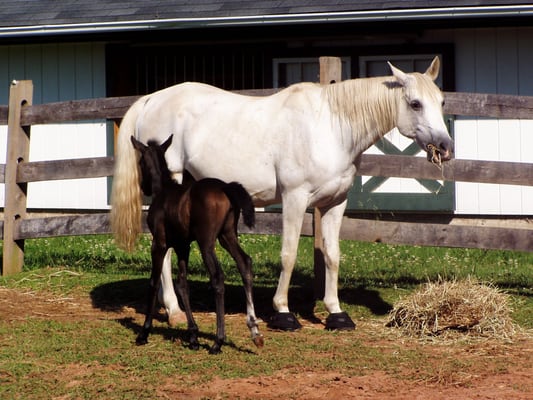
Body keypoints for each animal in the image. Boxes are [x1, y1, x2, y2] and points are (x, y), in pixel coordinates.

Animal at [111, 56, 454, 332]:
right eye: (415, 104)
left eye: (441, 102)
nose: (445, 147)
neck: (330, 128)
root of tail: (151, 99)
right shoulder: (295, 199)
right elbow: (288, 255)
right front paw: (284, 313)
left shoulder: (335, 203)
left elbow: (332, 256)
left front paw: (336, 313)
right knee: (164, 249)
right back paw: (174, 311)